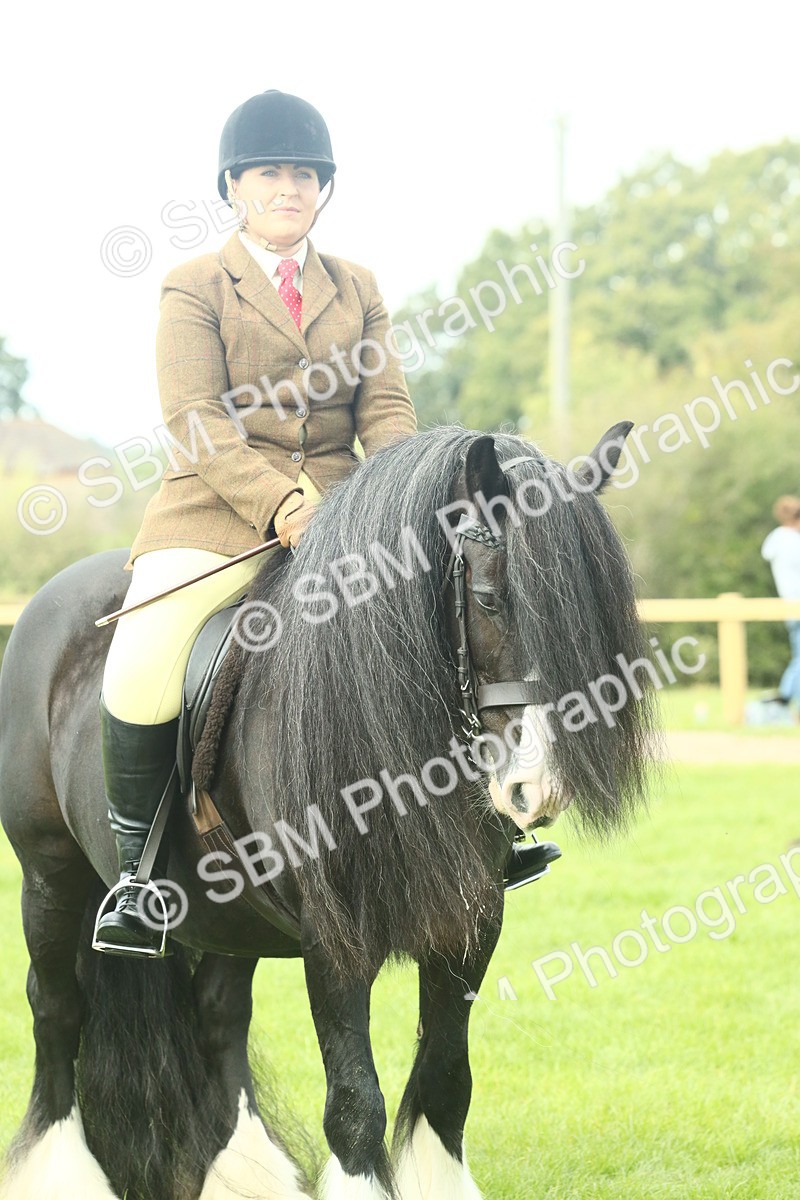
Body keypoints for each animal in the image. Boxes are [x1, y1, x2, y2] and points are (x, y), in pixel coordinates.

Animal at [0, 423, 658, 1200]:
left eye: (595, 609)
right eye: (491, 599)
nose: (538, 786)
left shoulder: (471, 924)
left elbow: (446, 1083)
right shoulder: (332, 936)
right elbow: (354, 1105)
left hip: (230, 911)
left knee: (221, 1016)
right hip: (50, 875)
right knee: (56, 1010)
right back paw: (60, 1170)